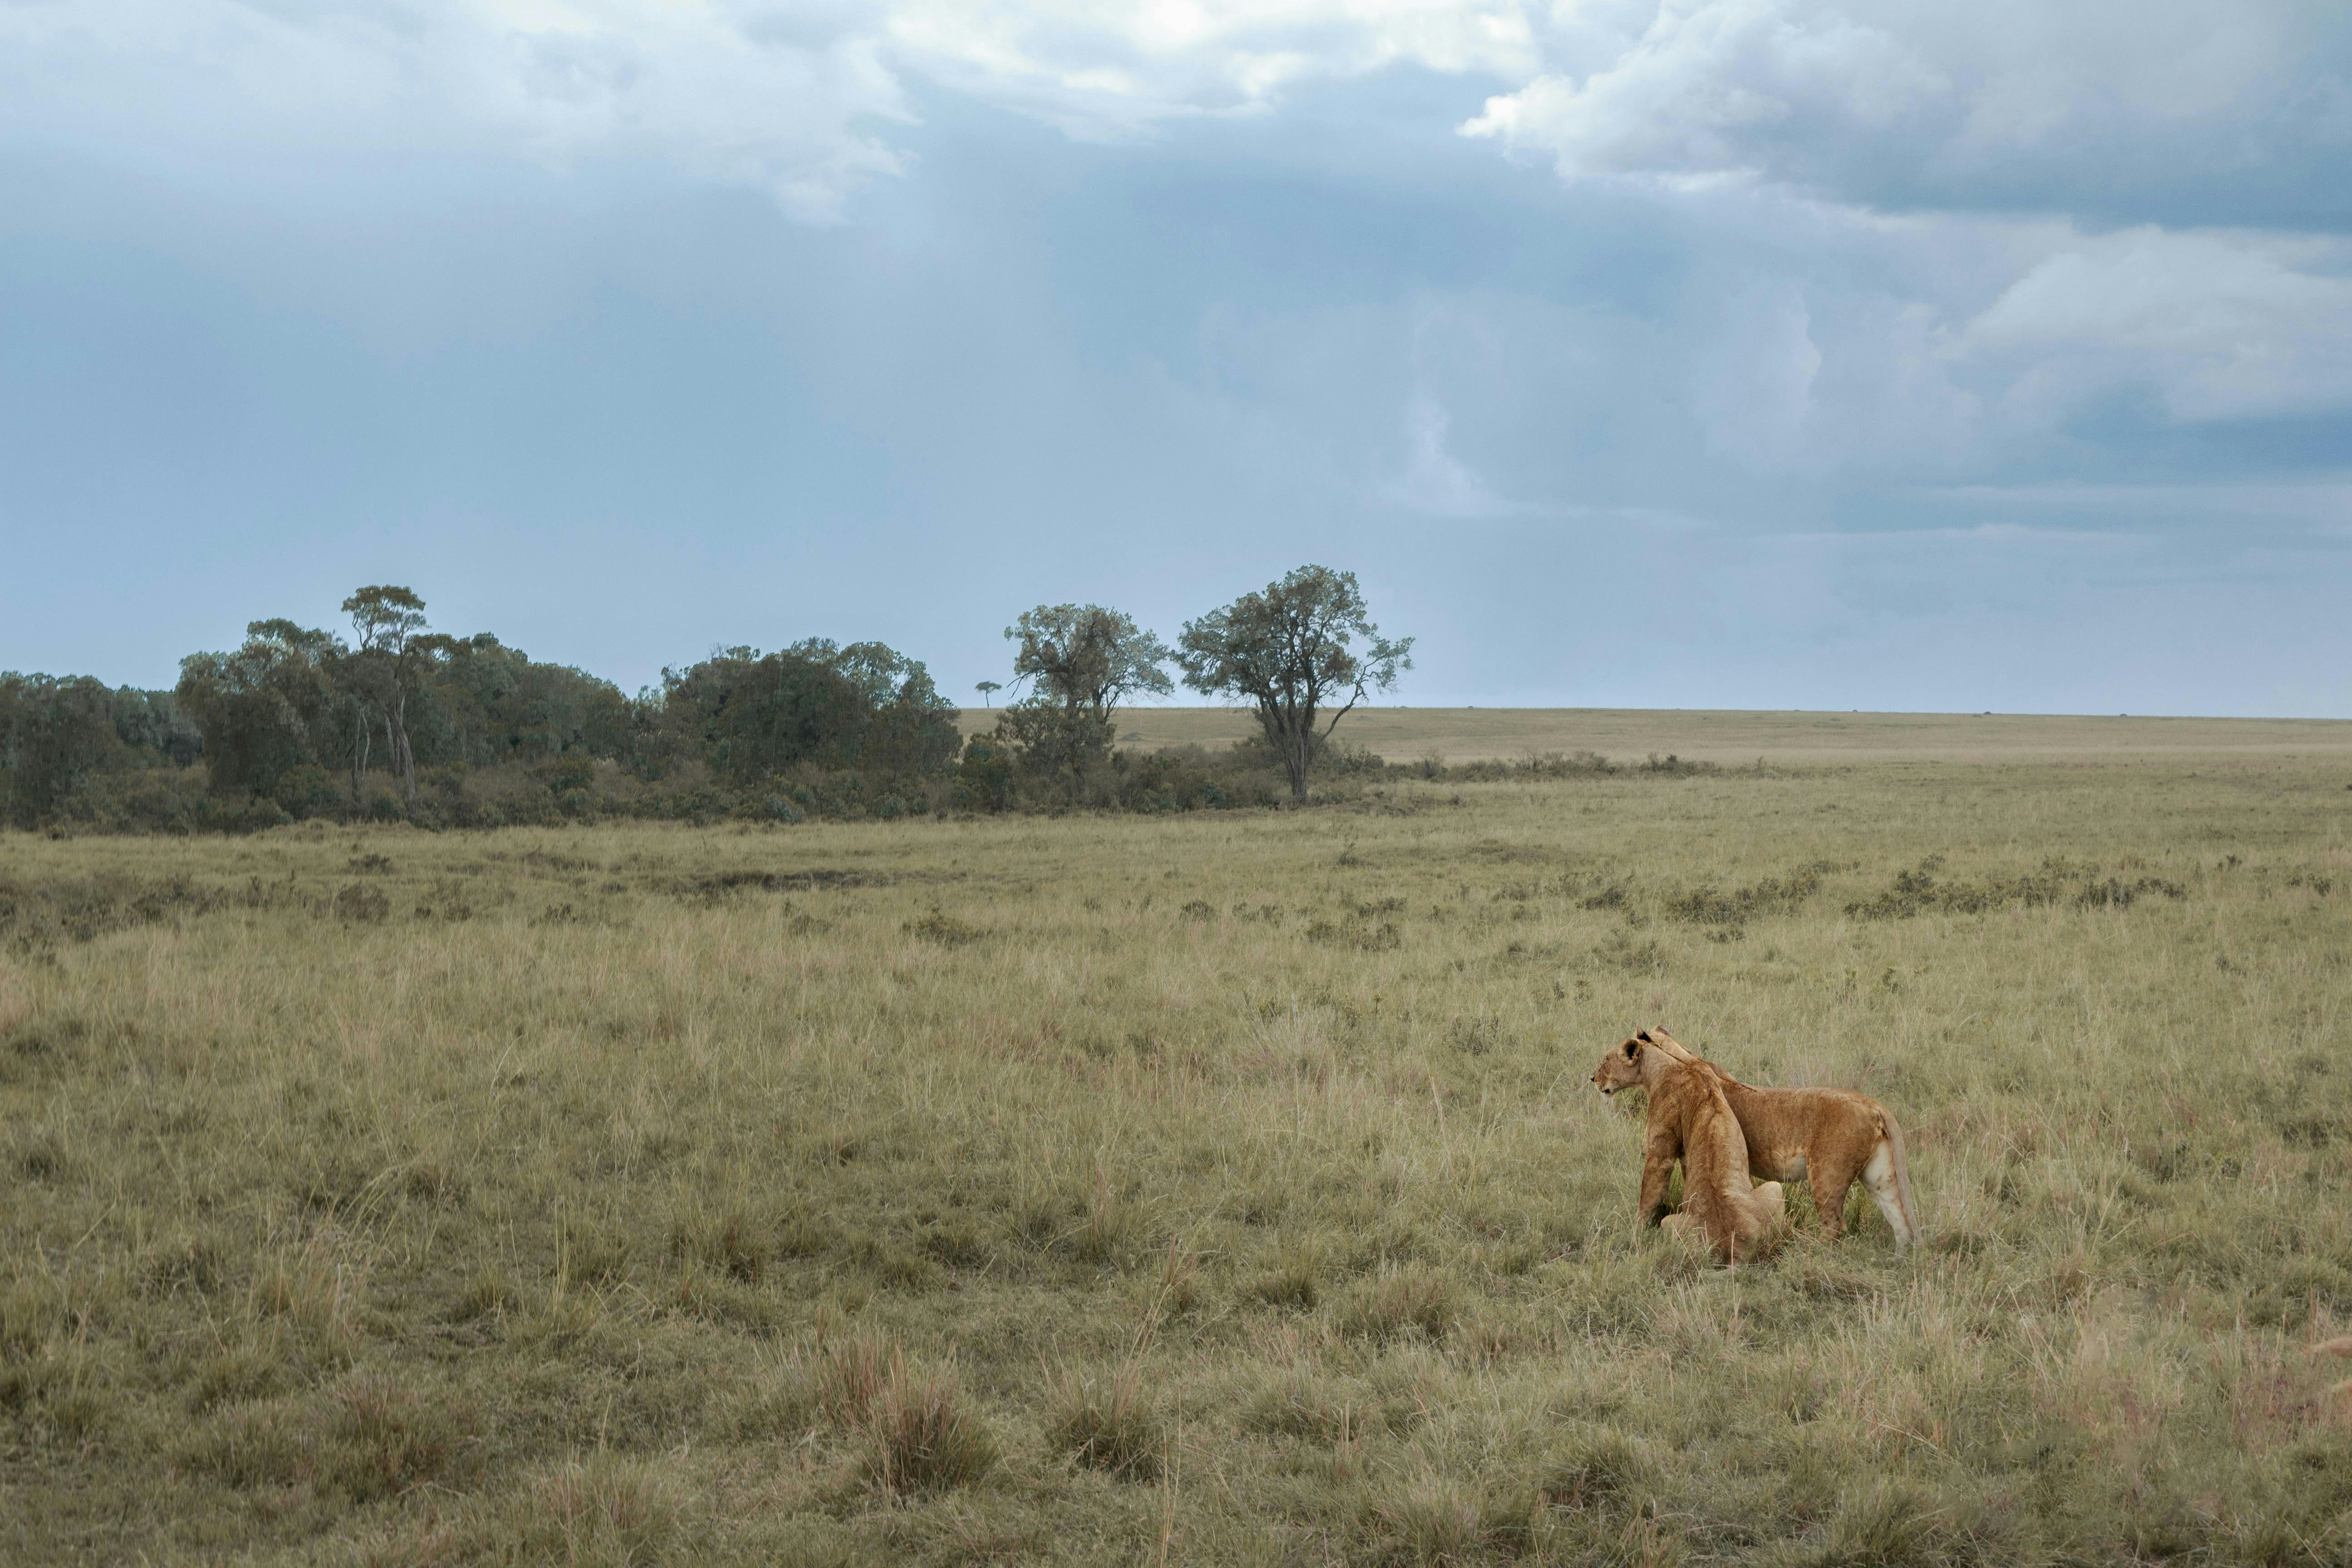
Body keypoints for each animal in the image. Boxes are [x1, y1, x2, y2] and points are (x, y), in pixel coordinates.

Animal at [1591, 1034, 1785, 1264]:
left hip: (1669, 1223)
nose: (1592, 1078)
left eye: (1606, 1060)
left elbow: (1649, 1193)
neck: (1668, 1067)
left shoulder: (1661, 1150)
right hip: (1775, 1189)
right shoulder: (1706, 1068)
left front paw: (1637, 1230)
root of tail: (1731, 1248)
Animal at [1632, 1028, 1921, 1248]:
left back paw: (1810, 1251)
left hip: (1827, 1175)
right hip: (1879, 1177)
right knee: (1900, 1220)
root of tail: (1874, 1105)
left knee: (1836, 1226)